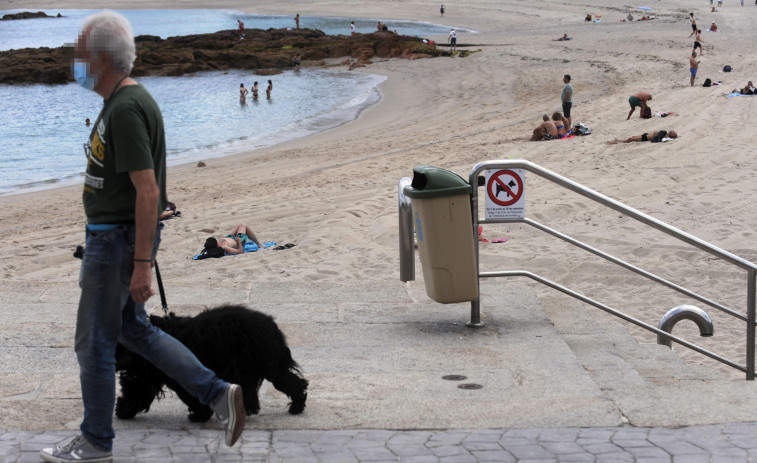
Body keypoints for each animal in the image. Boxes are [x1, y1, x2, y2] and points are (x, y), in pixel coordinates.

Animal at [114, 304, 308, 424]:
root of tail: (271, 326)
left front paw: (199, 415)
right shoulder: (147, 376)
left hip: (248, 366)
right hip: (269, 367)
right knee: (291, 382)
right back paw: (296, 407)